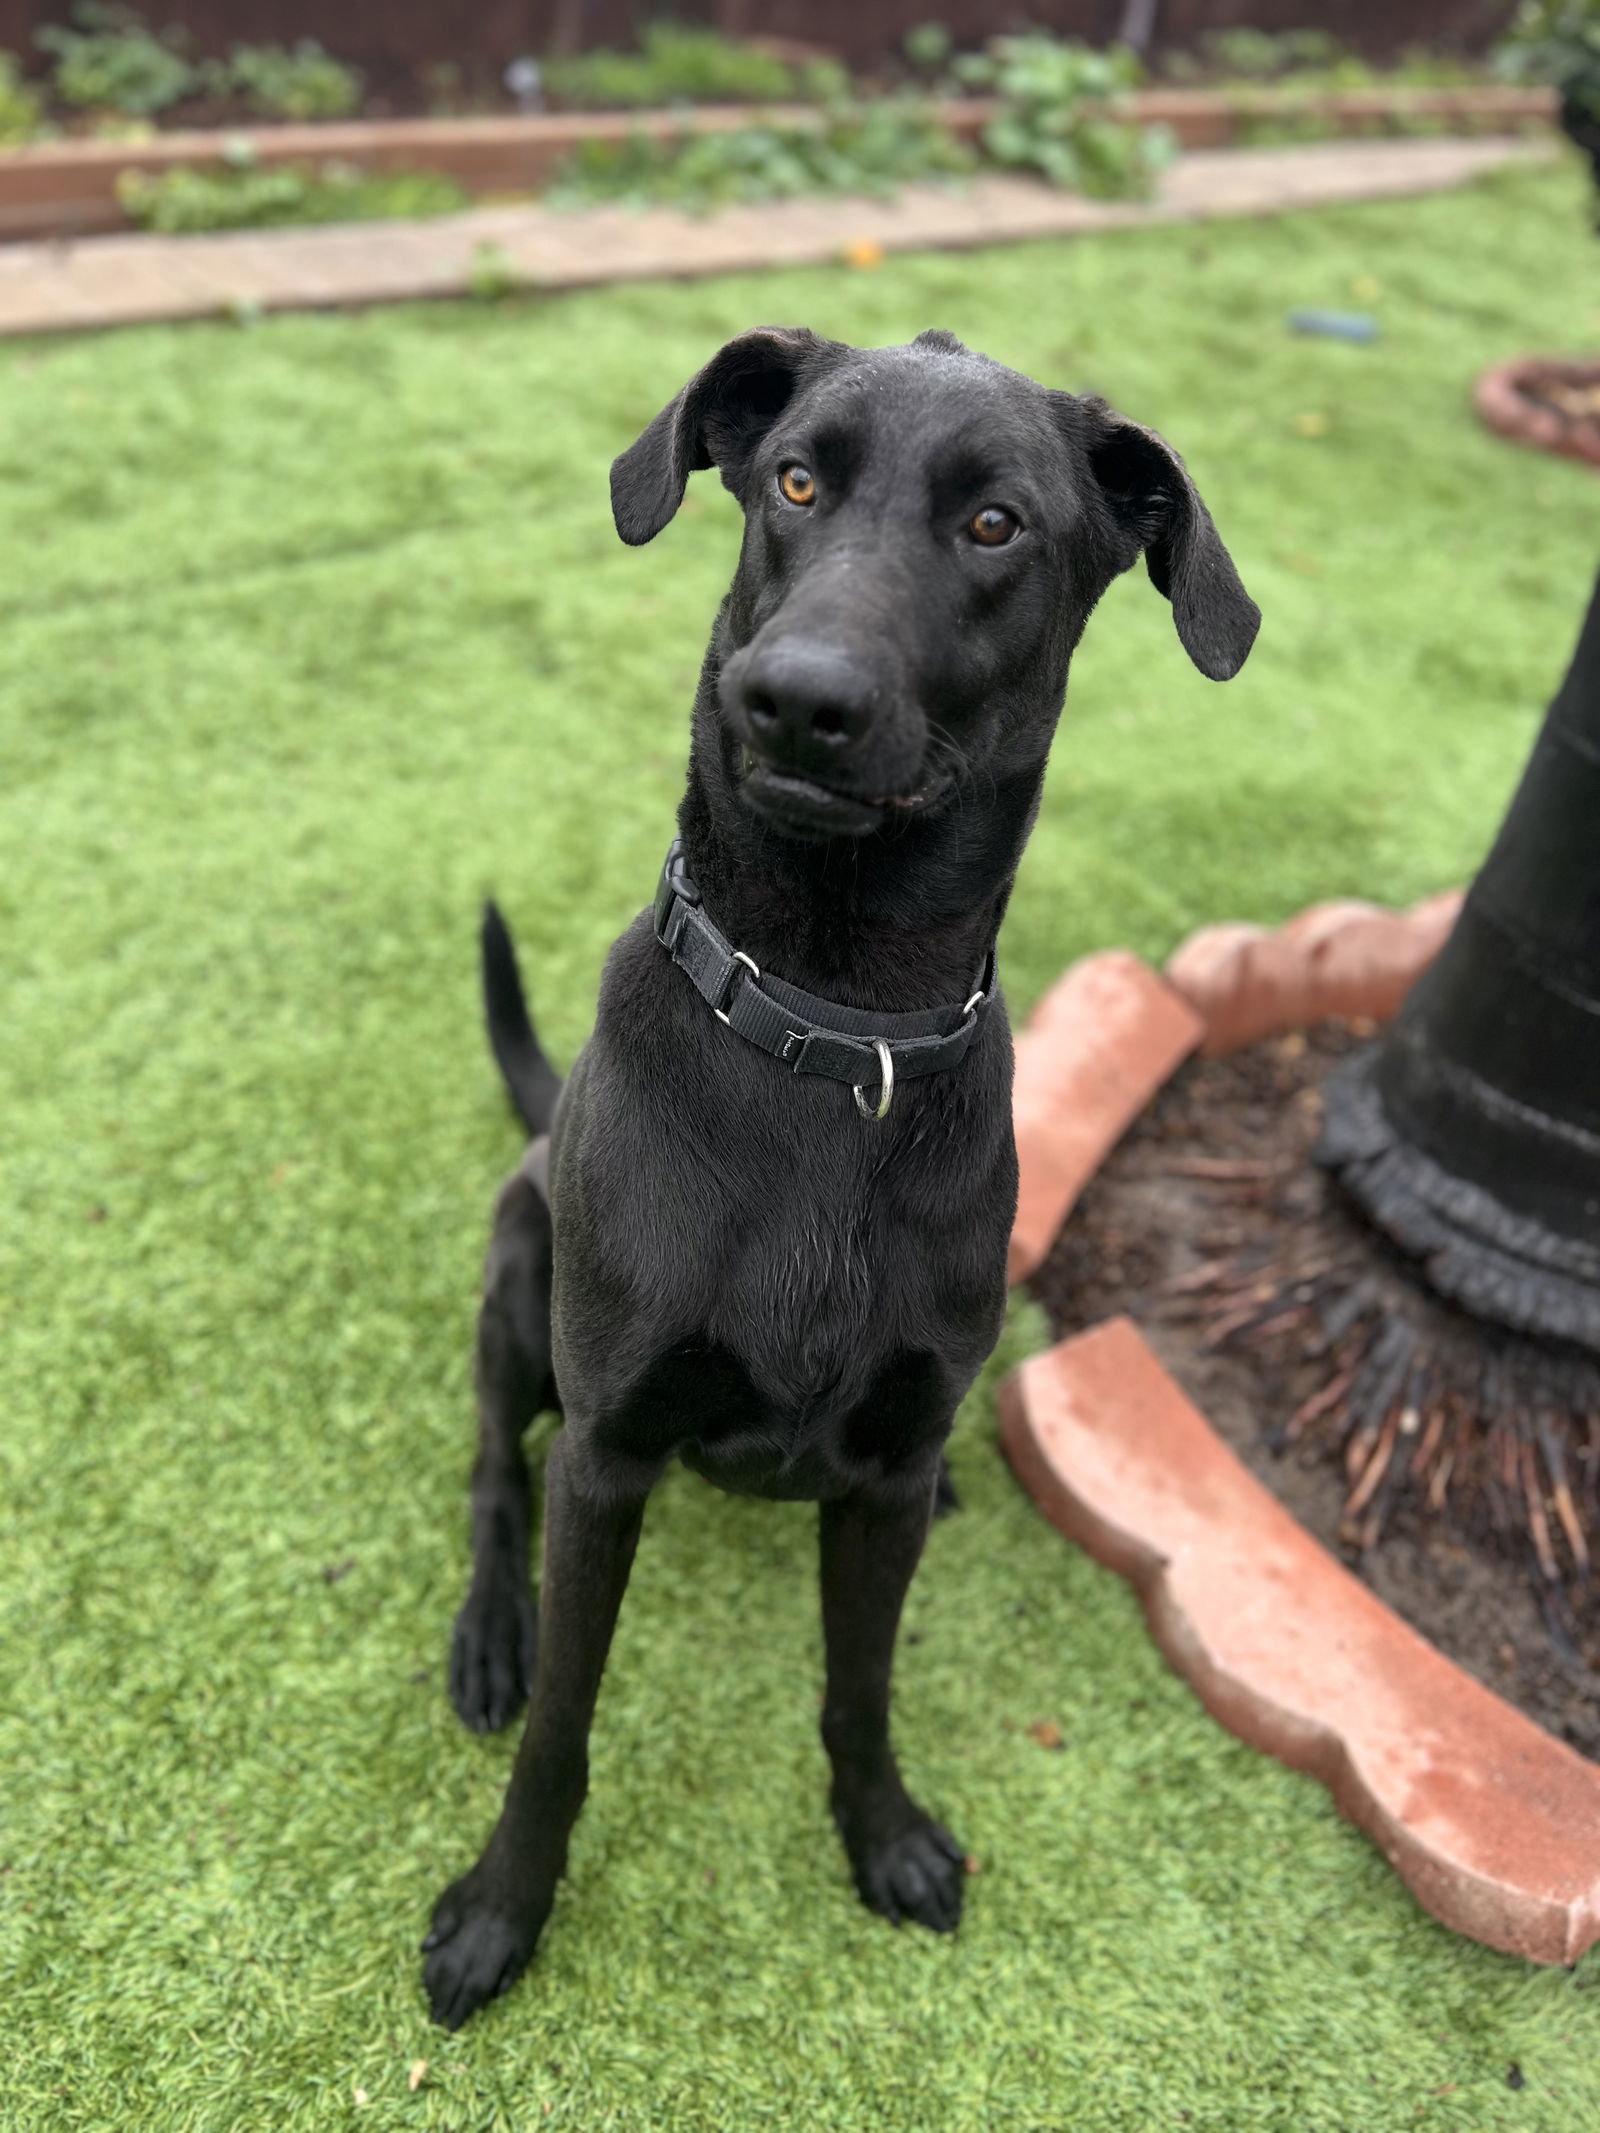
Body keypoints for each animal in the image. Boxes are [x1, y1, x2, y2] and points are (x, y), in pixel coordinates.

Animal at [420, 324, 1262, 2022]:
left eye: (996, 524)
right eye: (797, 479)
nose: (792, 698)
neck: (829, 1020)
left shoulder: (875, 1479)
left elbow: (860, 1687)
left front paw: (883, 1836)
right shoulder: (609, 1455)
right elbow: (563, 1724)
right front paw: (500, 1907)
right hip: (518, 1273)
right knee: (491, 1469)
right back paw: (486, 1630)